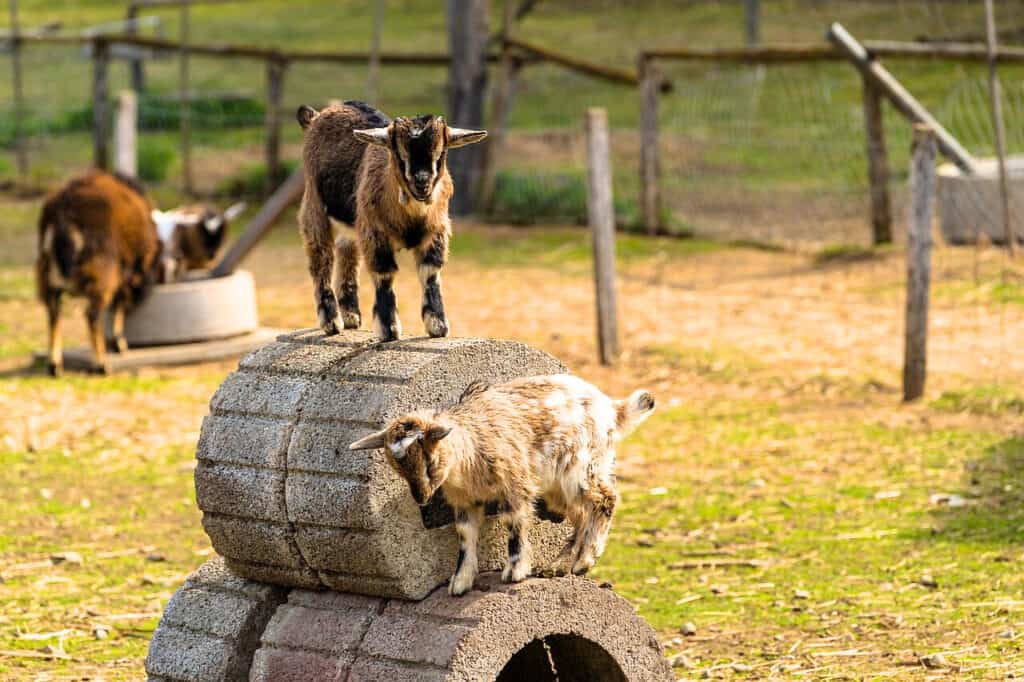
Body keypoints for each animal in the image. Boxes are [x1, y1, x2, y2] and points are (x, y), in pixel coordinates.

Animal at [36, 171, 240, 375]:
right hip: (101, 270)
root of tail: (64, 215)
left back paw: (54, 365)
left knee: (53, 314)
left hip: (48, 274)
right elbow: (120, 305)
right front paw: (119, 343)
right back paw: (101, 364)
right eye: (206, 243)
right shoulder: (130, 272)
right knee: (91, 314)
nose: (212, 259)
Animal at [296, 100, 486, 341]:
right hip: (314, 208)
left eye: (440, 154)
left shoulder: (437, 231)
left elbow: (430, 272)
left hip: (351, 224)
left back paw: (351, 316)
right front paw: (389, 329)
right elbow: (384, 272)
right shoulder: (374, 232)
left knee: (347, 253)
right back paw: (331, 322)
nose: (422, 183)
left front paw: (437, 325)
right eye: (400, 155)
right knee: (321, 259)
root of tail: (316, 116)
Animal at [349, 375, 656, 596]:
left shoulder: (515, 485)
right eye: (396, 468)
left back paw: (584, 561)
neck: (468, 454)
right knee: (581, 515)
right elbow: (465, 537)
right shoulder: (465, 501)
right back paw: (559, 565)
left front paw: (515, 571)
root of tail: (613, 408)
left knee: (605, 499)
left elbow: (515, 524)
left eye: (430, 461)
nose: (422, 498)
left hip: (582, 467)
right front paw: (460, 582)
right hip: (556, 487)